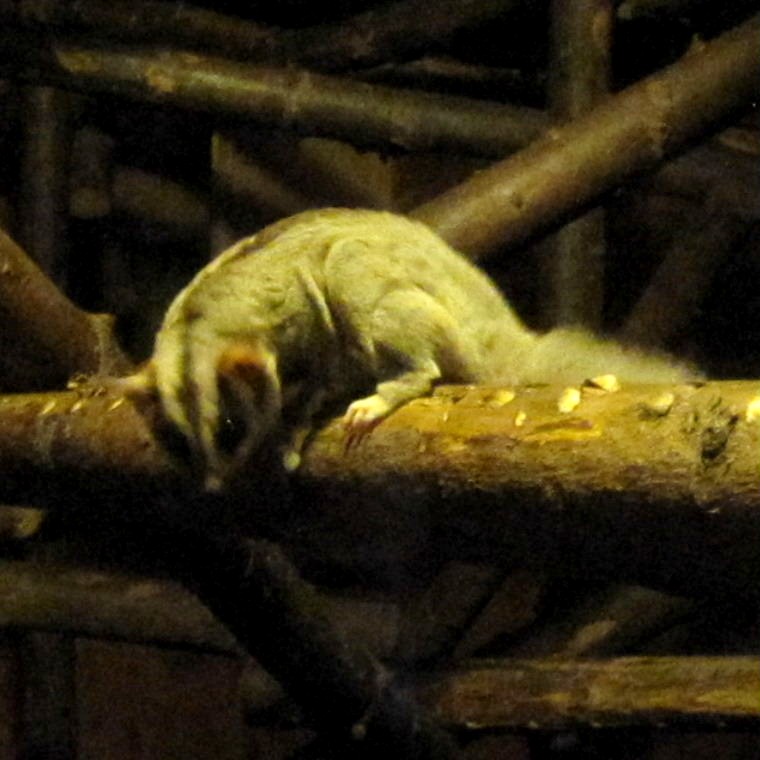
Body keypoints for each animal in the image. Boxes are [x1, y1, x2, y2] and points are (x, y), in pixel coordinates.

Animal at [123, 208, 699, 490]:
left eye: (229, 428)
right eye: (181, 441)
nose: (213, 487)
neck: (202, 322)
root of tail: (503, 340)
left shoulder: (300, 324)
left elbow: (323, 370)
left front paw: (291, 427)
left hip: (446, 328)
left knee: (350, 266)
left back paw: (393, 389)